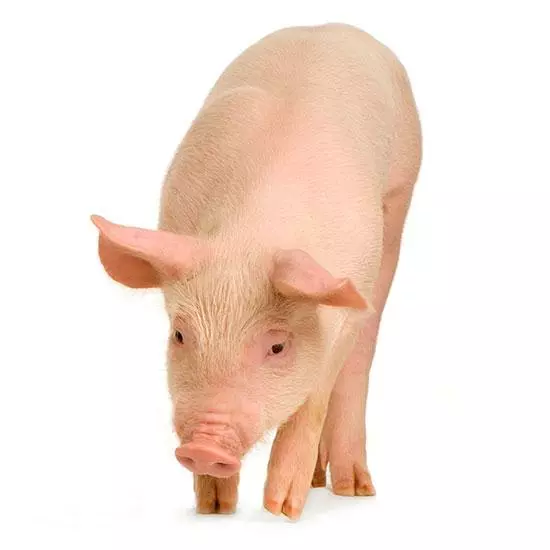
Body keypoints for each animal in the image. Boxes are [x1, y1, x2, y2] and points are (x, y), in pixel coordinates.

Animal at [91, 23, 422, 519]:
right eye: (180, 335)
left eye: (278, 346)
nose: (205, 447)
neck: (252, 236)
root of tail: (334, 25)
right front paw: (215, 509)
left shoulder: (345, 306)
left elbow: (314, 397)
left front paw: (281, 510)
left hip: (400, 192)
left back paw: (353, 490)